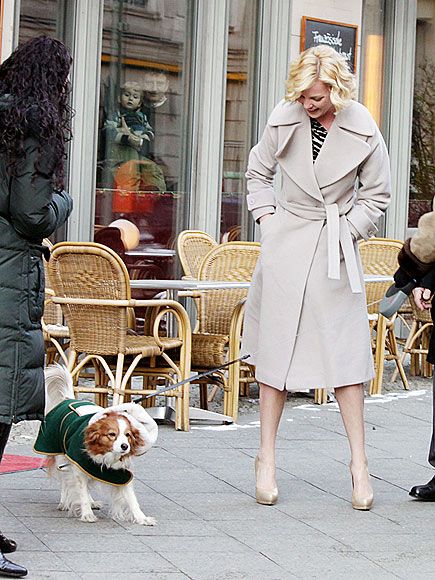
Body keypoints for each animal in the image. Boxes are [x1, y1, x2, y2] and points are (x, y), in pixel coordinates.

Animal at [34, 368, 158, 524]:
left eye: (128, 435)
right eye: (112, 434)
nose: (125, 446)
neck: (105, 455)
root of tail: (69, 398)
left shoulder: (122, 474)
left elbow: (131, 498)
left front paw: (142, 518)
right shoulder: (78, 469)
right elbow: (81, 492)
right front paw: (87, 514)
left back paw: (92, 502)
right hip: (61, 457)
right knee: (65, 481)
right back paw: (64, 502)